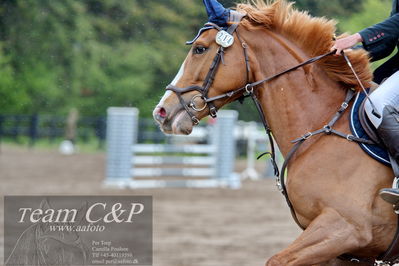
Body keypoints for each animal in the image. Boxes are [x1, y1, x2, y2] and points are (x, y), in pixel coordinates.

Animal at [153, 1, 396, 264]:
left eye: (200, 49)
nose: (161, 112)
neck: (322, 124)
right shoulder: (345, 252)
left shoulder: (345, 227)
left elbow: (276, 260)